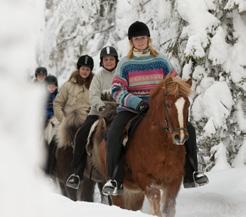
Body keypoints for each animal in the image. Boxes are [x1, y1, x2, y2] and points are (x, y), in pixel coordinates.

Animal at [88, 75, 192, 216]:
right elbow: (156, 202)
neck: (162, 147)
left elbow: (168, 208)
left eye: (188, 104)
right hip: (117, 189)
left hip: (134, 192)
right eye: (168, 104)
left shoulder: (173, 181)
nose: (180, 137)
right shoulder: (145, 179)